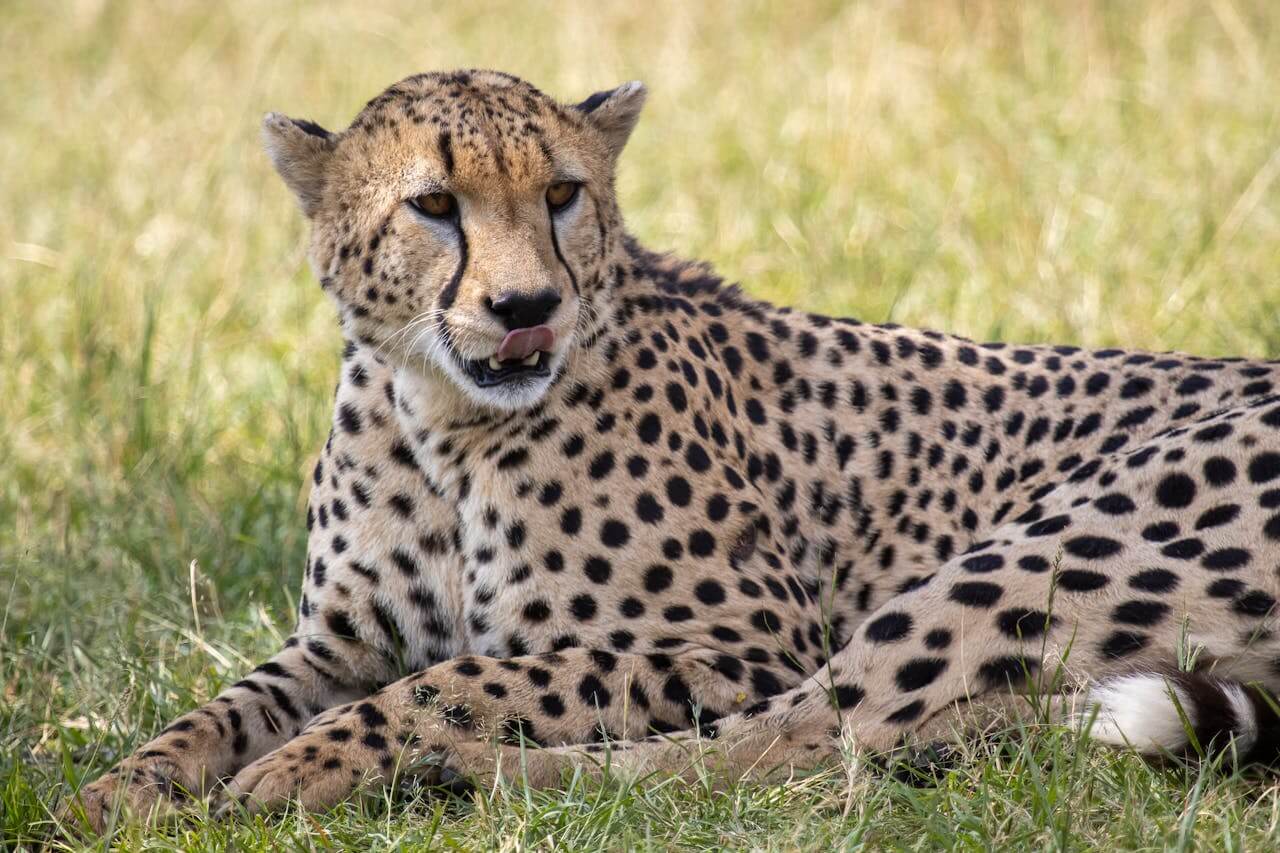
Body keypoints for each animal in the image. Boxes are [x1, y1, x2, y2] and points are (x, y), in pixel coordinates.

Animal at [69, 69, 1280, 832]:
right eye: (433, 204)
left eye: (562, 193)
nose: (525, 309)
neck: (440, 420)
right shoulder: (338, 640)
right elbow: (224, 703)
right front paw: (119, 787)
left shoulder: (744, 637)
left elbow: (458, 678)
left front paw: (313, 763)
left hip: (1049, 548)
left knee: (811, 743)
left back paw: (458, 773)